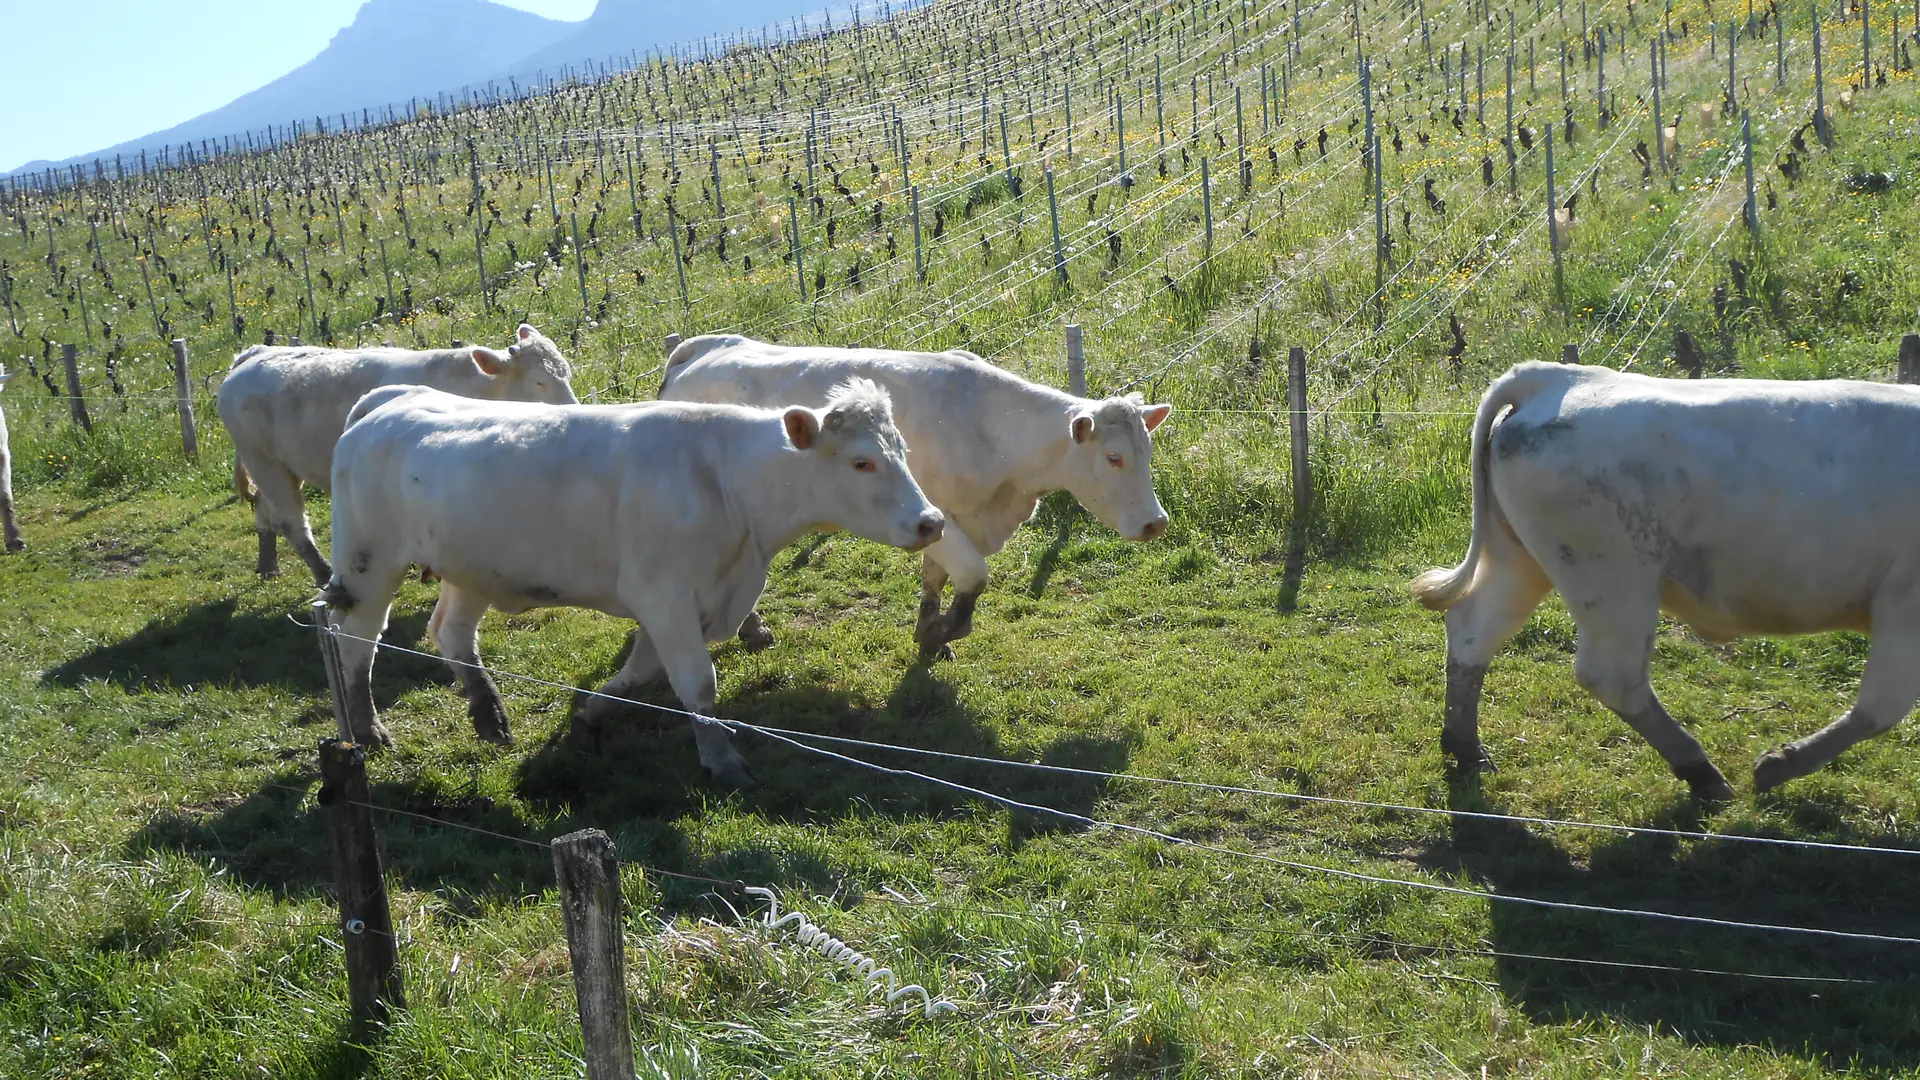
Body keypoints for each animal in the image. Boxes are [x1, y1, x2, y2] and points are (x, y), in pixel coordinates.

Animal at [217, 322, 572, 584]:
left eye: (566, 372)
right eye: (539, 382)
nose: (574, 409)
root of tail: (254, 354)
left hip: (279, 464)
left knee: (265, 511)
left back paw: (268, 566)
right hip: (263, 461)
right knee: (291, 522)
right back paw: (322, 572)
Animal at [322, 378, 944, 780]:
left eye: (903, 450)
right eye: (862, 462)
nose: (931, 521)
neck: (725, 481)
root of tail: (388, 400)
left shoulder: (685, 603)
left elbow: (643, 673)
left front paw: (591, 715)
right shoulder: (663, 595)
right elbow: (697, 684)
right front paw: (722, 761)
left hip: (471, 568)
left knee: (450, 631)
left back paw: (488, 712)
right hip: (367, 563)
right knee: (355, 641)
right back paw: (368, 727)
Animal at [656, 334, 1167, 657]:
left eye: (1147, 451)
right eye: (1114, 458)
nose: (1156, 522)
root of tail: (702, 349)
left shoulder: (945, 520)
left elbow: (936, 578)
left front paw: (930, 632)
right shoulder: (939, 516)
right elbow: (973, 575)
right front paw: (945, 629)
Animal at [1405, 361, 1920, 799]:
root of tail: (1557, 376)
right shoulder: (1903, 604)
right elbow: (1880, 707)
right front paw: (1778, 765)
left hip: (1521, 559)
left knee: (1474, 630)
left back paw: (1466, 748)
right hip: (1613, 580)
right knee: (1613, 676)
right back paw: (1700, 770)